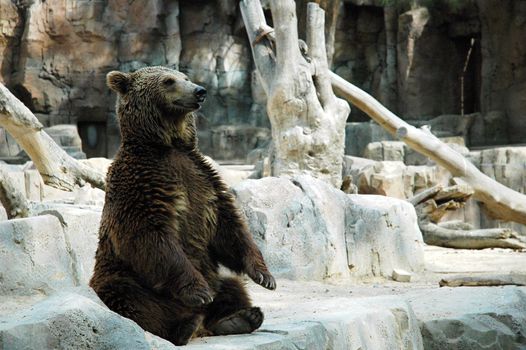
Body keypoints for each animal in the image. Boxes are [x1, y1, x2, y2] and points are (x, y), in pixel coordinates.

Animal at [89, 65, 276, 344]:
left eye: (185, 77)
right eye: (168, 81)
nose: (200, 91)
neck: (167, 144)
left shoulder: (205, 180)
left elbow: (229, 226)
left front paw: (264, 275)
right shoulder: (141, 186)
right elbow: (151, 237)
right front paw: (198, 291)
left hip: (214, 276)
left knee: (230, 286)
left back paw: (240, 317)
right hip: (121, 276)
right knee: (131, 297)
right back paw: (186, 324)